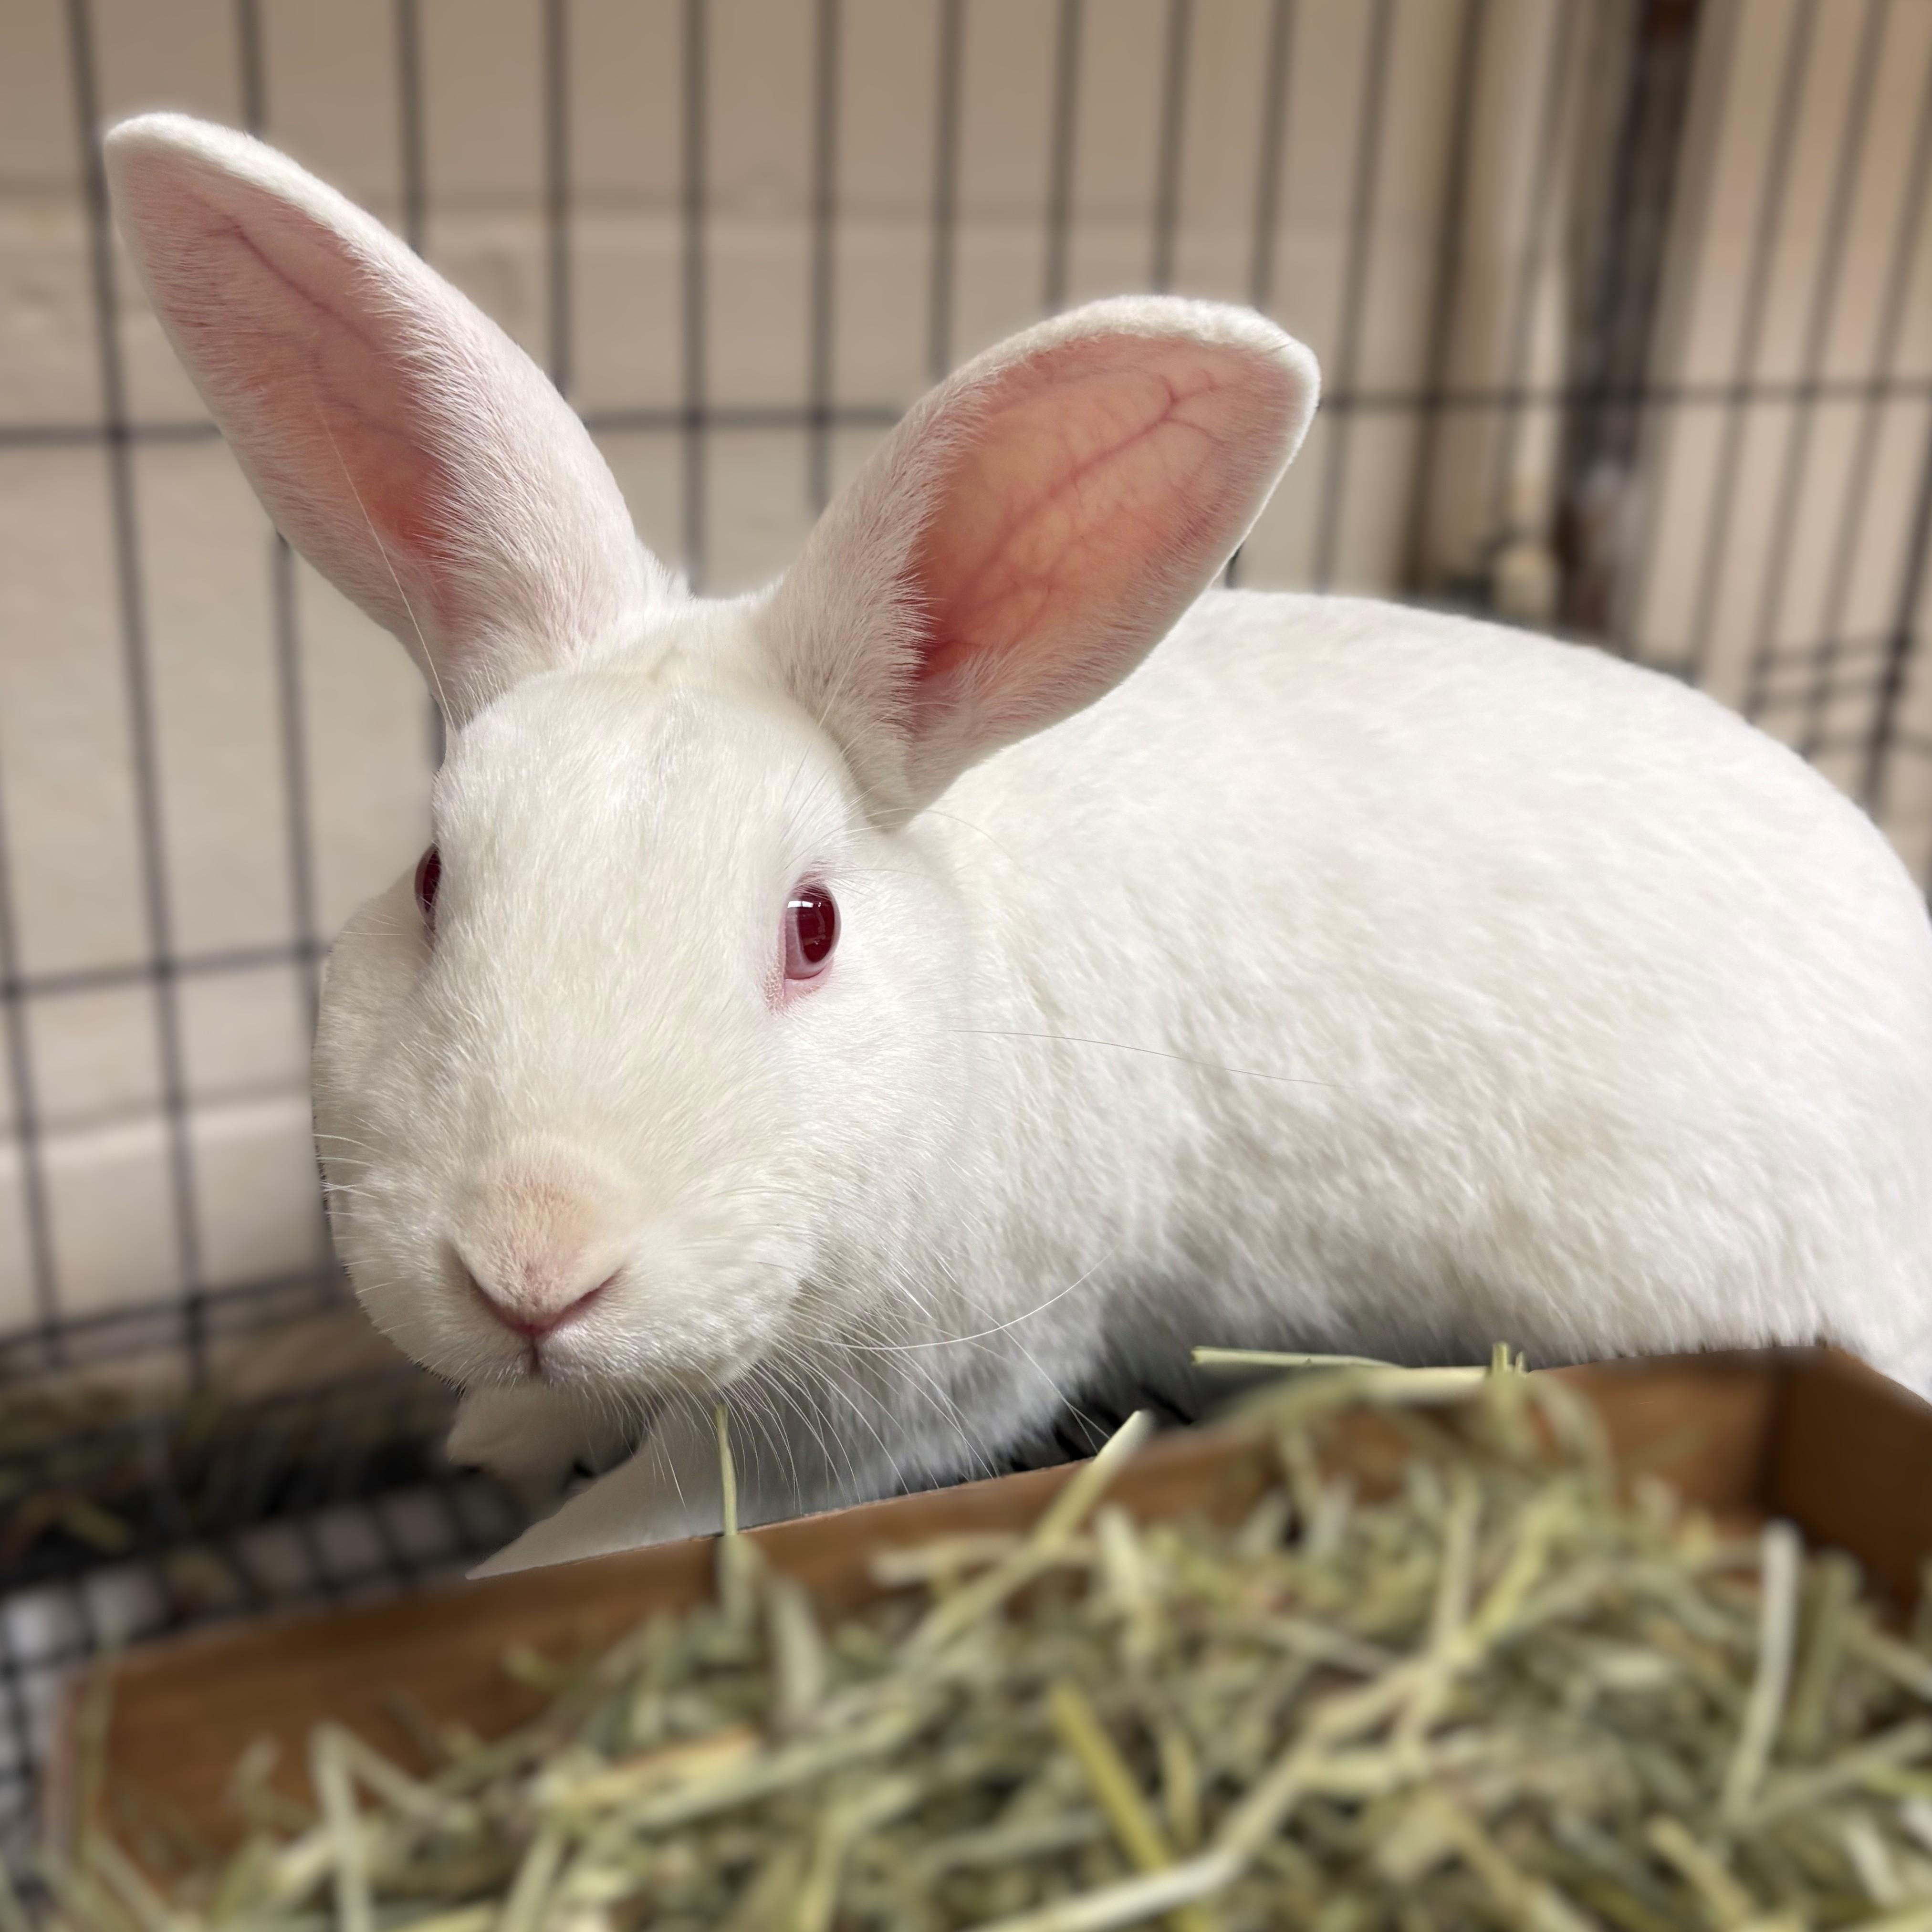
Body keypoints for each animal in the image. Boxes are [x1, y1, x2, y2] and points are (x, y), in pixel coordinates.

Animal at [106, 112, 1932, 1579]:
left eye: (812, 924)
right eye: (432, 879)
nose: (531, 1265)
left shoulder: (901, 1397)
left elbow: (643, 1516)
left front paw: (506, 1550)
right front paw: (490, 1431)